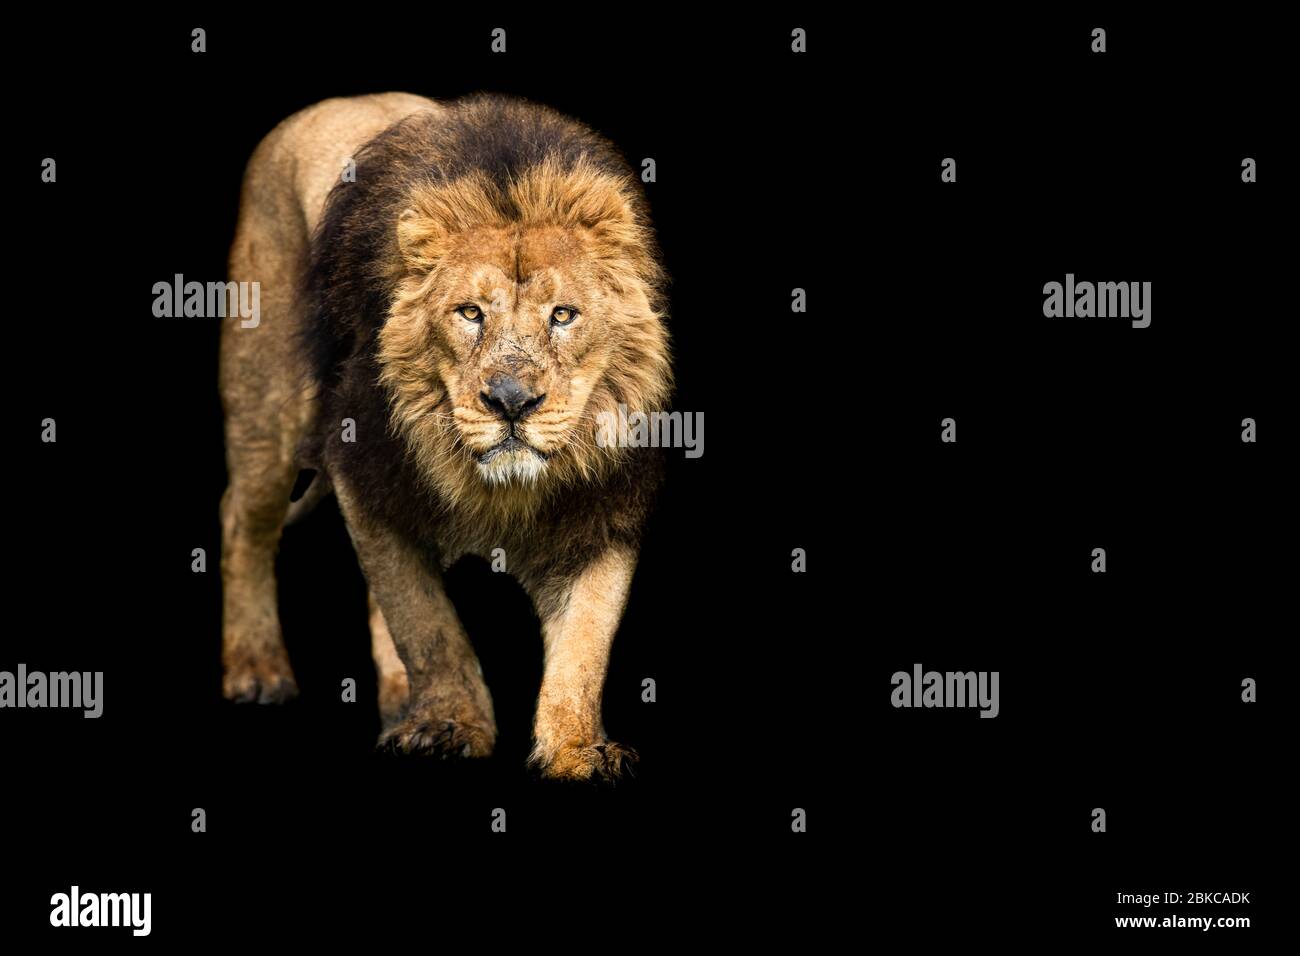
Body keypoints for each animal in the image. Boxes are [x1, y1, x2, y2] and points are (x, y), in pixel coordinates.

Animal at [219, 92, 671, 781]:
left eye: (563, 315)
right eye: (470, 313)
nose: (511, 401)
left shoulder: (604, 512)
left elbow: (586, 643)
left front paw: (577, 749)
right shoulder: (365, 476)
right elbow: (425, 623)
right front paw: (447, 726)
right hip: (266, 410)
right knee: (242, 521)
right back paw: (255, 673)